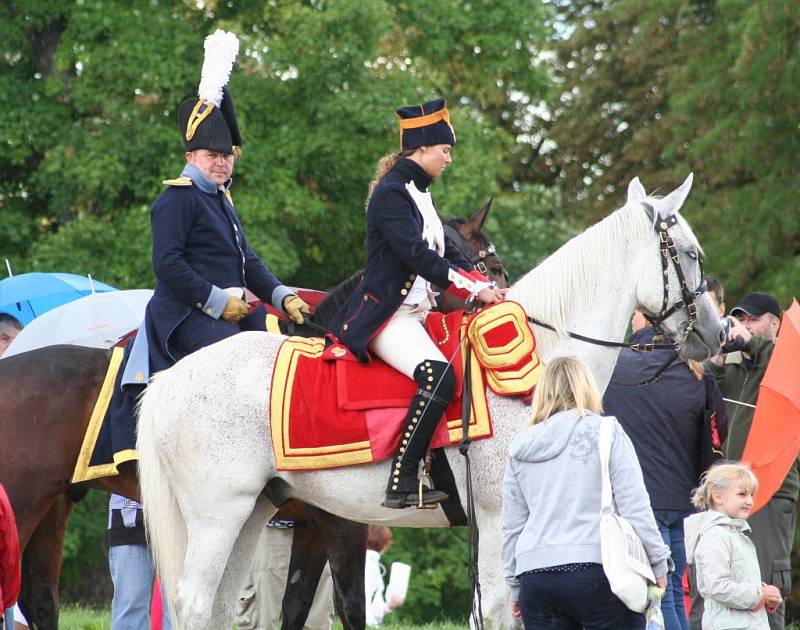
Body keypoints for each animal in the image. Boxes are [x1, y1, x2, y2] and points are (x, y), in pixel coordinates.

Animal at [3, 204, 506, 630]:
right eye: (483, 266)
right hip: (26, 503)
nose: (495, 298)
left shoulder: (311, 524)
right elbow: (350, 605)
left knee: (39, 598)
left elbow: (297, 606)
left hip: (54, 508)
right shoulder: (342, 522)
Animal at [138, 175, 724, 628]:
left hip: (253, 511)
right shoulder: (494, 518)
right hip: (218, 516)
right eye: (692, 254)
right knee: (195, 602)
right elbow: (494, 612)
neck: (544, 360)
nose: (717, 334)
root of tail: (170, 379)